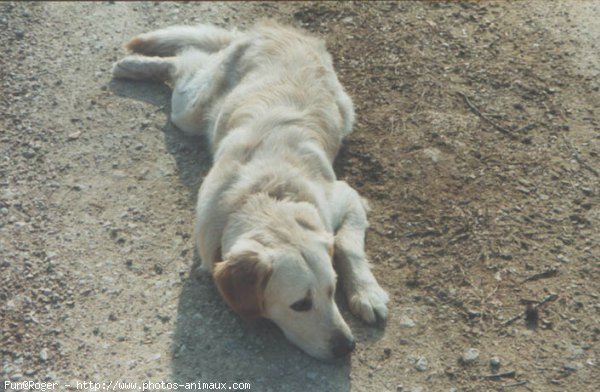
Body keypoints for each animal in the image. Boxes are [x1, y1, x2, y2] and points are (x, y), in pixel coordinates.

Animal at [113, 20, 390, 358]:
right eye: (301, 304)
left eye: (332, 289)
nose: (347, 347)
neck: (267, 197)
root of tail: (273, 30)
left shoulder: (345, 197)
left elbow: (349, 244)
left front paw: (367, 292)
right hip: (189, 111)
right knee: (182, 62)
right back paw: (135, 65)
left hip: (346, 111)